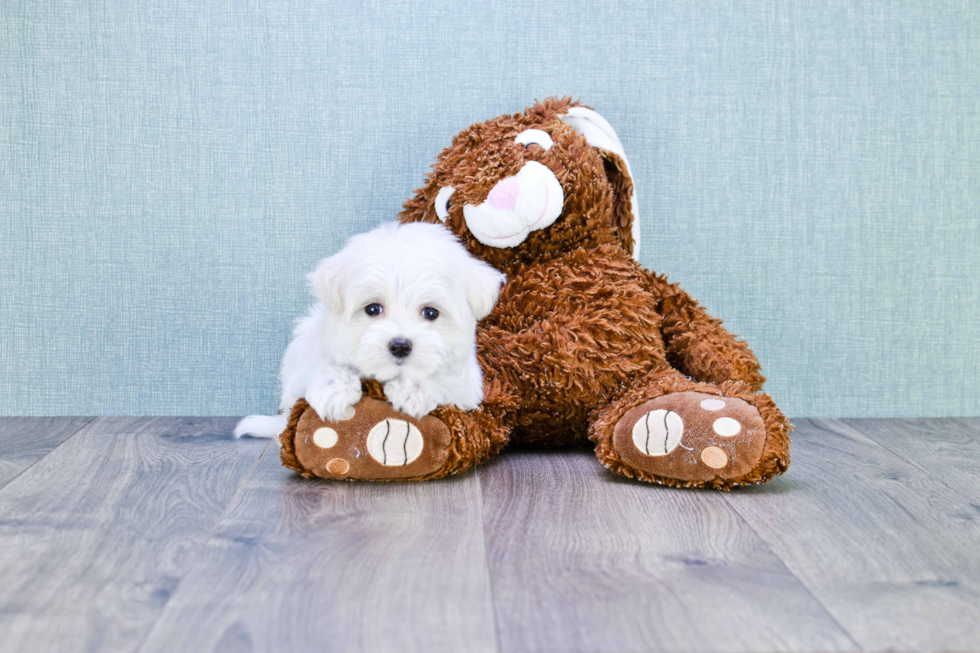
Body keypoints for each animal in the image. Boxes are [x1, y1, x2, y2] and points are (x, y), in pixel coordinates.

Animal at [234, 220, 502, 438]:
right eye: (373, 309)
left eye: (431, 313)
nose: (400, 346)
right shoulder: (303, 360)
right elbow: (322, 364)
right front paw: (334, 390)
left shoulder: (466, 391)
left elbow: (441, 379)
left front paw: (414, 392)